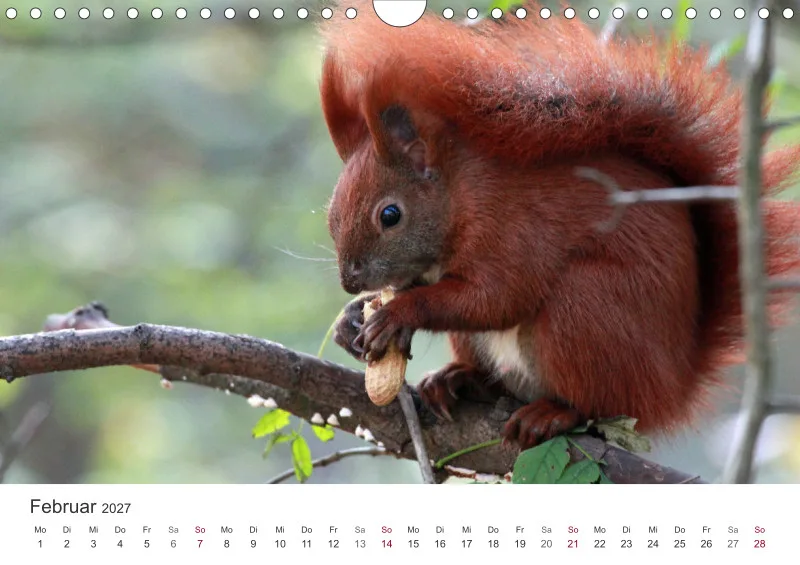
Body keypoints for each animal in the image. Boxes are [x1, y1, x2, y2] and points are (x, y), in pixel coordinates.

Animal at [318, 3, 800, 449]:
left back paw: (553, 413)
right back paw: (459, 380)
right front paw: (351, 318)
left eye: (390, 215)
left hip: (586, 308)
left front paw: (398, 312)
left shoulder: (510, 228)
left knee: (597, 400)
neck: (459, 195)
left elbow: (496, 298)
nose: (348, 280)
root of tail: (672, 388)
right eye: (332, 212)